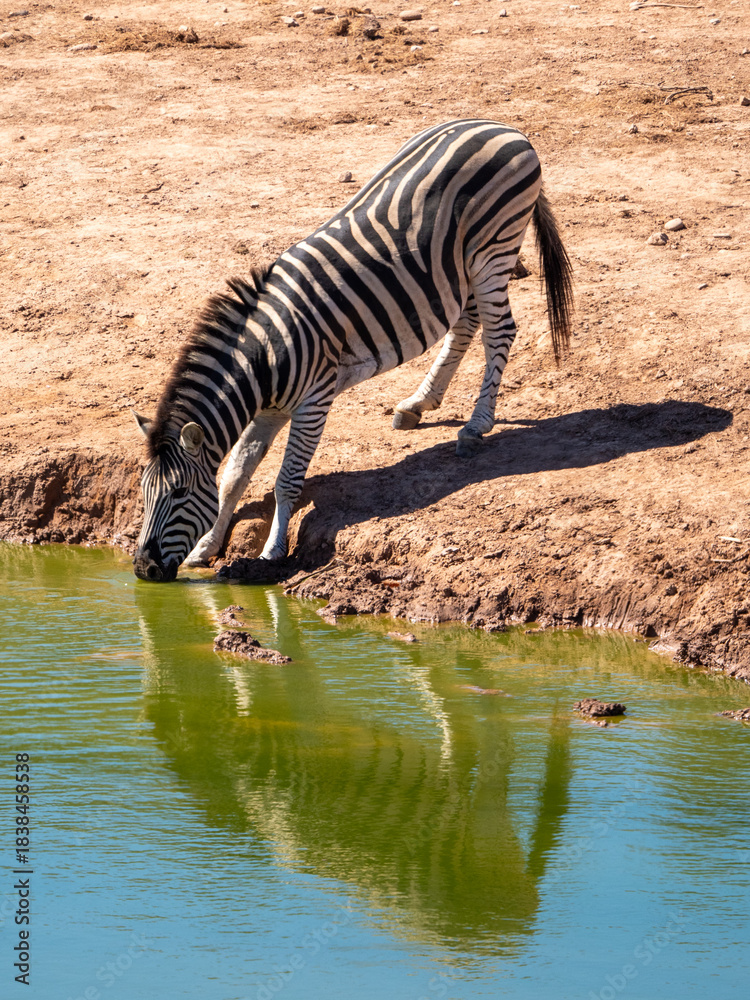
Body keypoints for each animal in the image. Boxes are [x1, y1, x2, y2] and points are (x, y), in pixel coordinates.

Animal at [133, 119, 573, 582]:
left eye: (180, 493)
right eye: (143, 492)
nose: (143, 569)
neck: (262, 359)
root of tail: (503, 127)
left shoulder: (313, 401)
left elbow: (286, 480)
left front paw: (272, 551)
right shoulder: (269, 409)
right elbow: (234, 474)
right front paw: (206, 547)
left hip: (494, 250)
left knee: (500, 331)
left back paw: (476, 425)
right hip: (461, 266)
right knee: (466, 323)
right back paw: (418, 404)